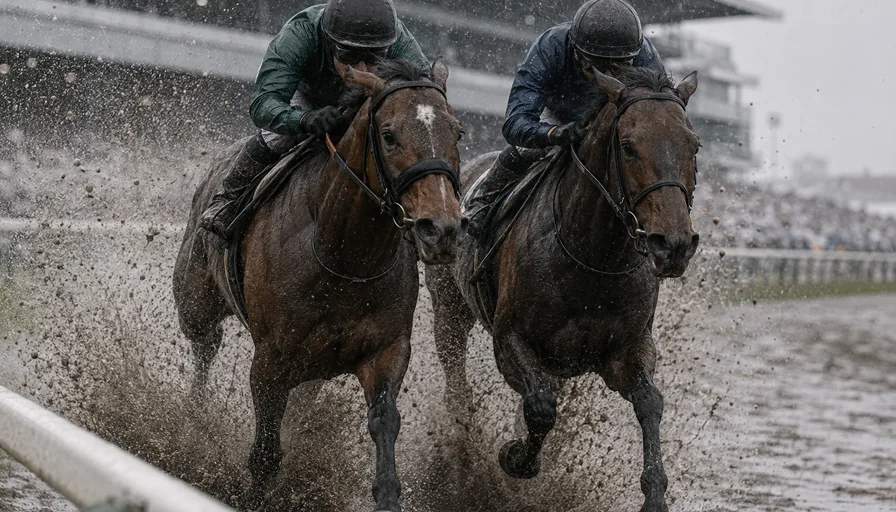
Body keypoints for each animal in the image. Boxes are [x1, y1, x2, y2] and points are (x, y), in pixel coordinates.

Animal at [173, 59, 467, 511]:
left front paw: (387, 495)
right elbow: (265, 452)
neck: (343, 256)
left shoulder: (387, 349)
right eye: (389, 135)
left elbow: (384, 420)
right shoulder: (271, 362)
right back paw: (193, 418)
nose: (443, 229)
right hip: (196, 302)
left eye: (457, 132)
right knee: (204, 347)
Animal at [425, 66, 700, 511]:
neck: (593, 257)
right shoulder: (511, 339)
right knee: (456, 380)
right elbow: (540, 407)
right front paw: (516, 457)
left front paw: (655, 493)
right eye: (628, 147)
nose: (673, 244)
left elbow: (650, 402)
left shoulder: (626, 349)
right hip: (449, 305)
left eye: (693, 145)